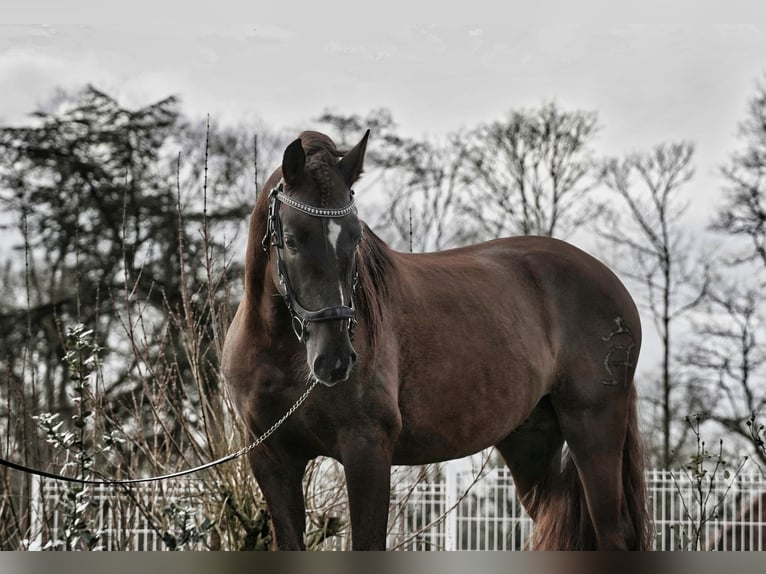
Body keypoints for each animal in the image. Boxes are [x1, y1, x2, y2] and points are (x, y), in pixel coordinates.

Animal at [222, 130, 656, 552]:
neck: (278, 352)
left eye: (355, 238)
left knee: (612, 535)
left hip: (593, 427)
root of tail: (610, 282)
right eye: (292, 240)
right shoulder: (272, 460)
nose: (335, 360)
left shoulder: (366, 449)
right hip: (531, 443)